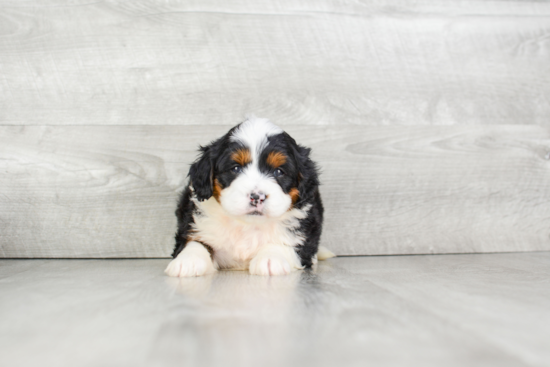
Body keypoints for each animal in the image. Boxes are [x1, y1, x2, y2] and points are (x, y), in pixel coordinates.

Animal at [166, 116, 334, 278]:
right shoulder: (194, 223)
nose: (256, 197)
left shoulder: (303, 236)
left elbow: (287, 243)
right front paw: (188, 260)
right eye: (235, 168)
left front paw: (271, 258)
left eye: (279, 172)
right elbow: (196, 241)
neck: (247, 225)